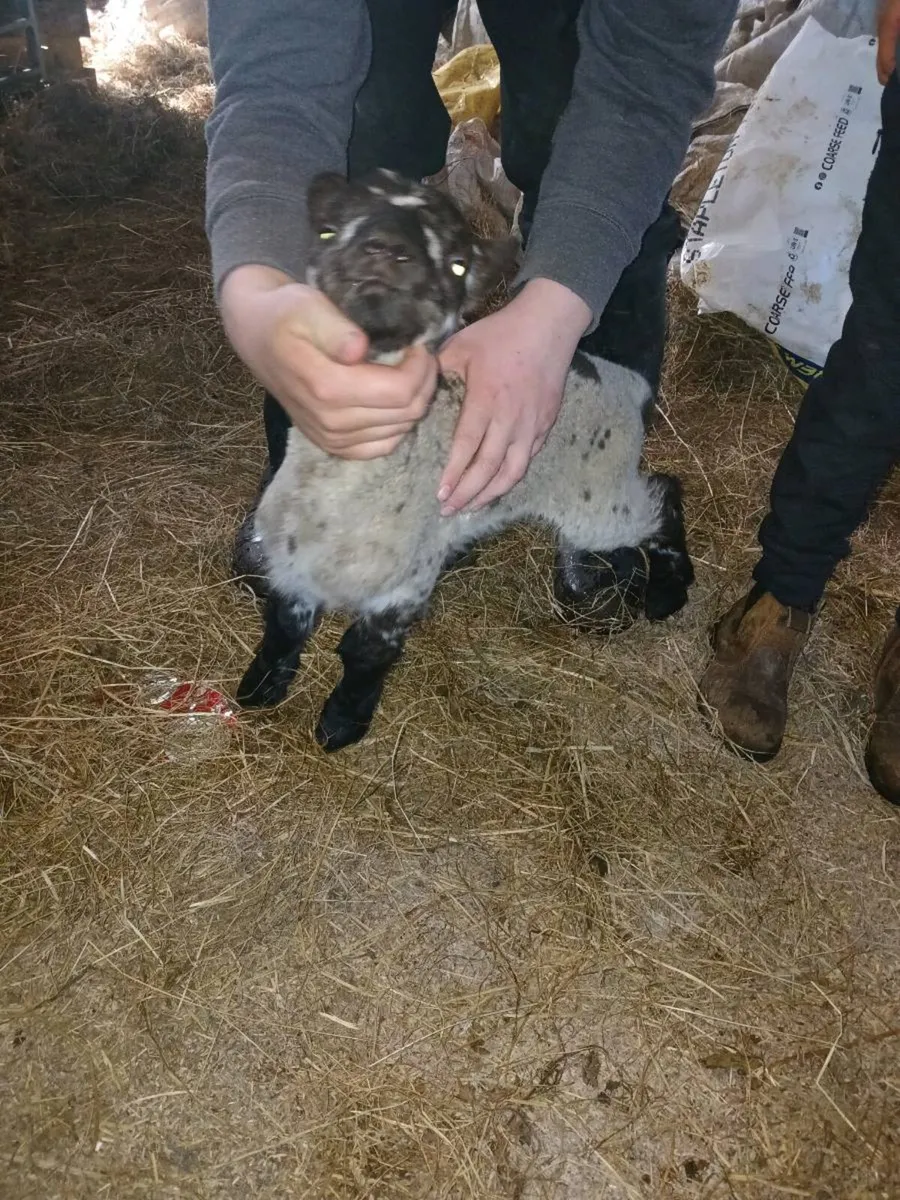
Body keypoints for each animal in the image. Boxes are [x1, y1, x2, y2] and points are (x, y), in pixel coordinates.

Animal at [236, 168, 694, 751]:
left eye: (456, 262)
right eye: (327, 231)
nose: (387, 249)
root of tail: (624, 382)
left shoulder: (403, 587)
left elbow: (364, 654)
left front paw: (342, 722)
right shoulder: (292, 567)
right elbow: (284, 627)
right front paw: (259, 687)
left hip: (599, 498)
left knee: (662, 494)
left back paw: (669, 590)